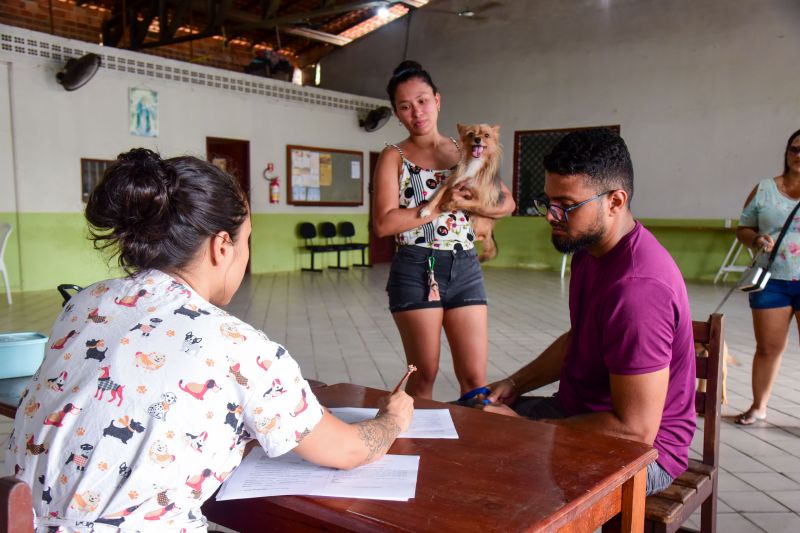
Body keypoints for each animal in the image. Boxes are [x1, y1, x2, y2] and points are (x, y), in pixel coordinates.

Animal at [422, 122, 504, 260]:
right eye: (471, 134)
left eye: (486, 135)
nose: (477, 139)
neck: (475, 162)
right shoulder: (451, 183)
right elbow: (437, 196)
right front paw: (426, 209)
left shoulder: (480, 200)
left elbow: (460, 202)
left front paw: (446, 205)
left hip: (479, 220)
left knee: (484, 237)